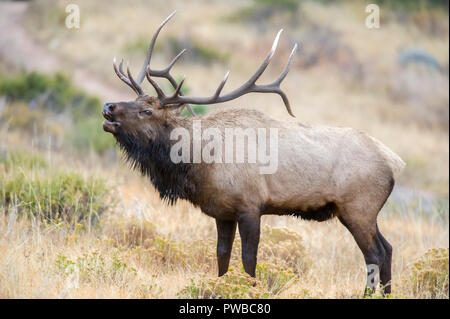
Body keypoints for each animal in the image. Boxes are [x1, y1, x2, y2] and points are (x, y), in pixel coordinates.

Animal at [103, 12, 406, 298]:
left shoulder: (250, 206)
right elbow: (222, 255)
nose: (108, 107)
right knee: (388, 248)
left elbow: (249, 260)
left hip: (358, 207)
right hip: (363, 212)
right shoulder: (222, 211)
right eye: (136, 101)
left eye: (147, 111)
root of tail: (395, 162)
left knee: (374, 254)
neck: (199, 162)